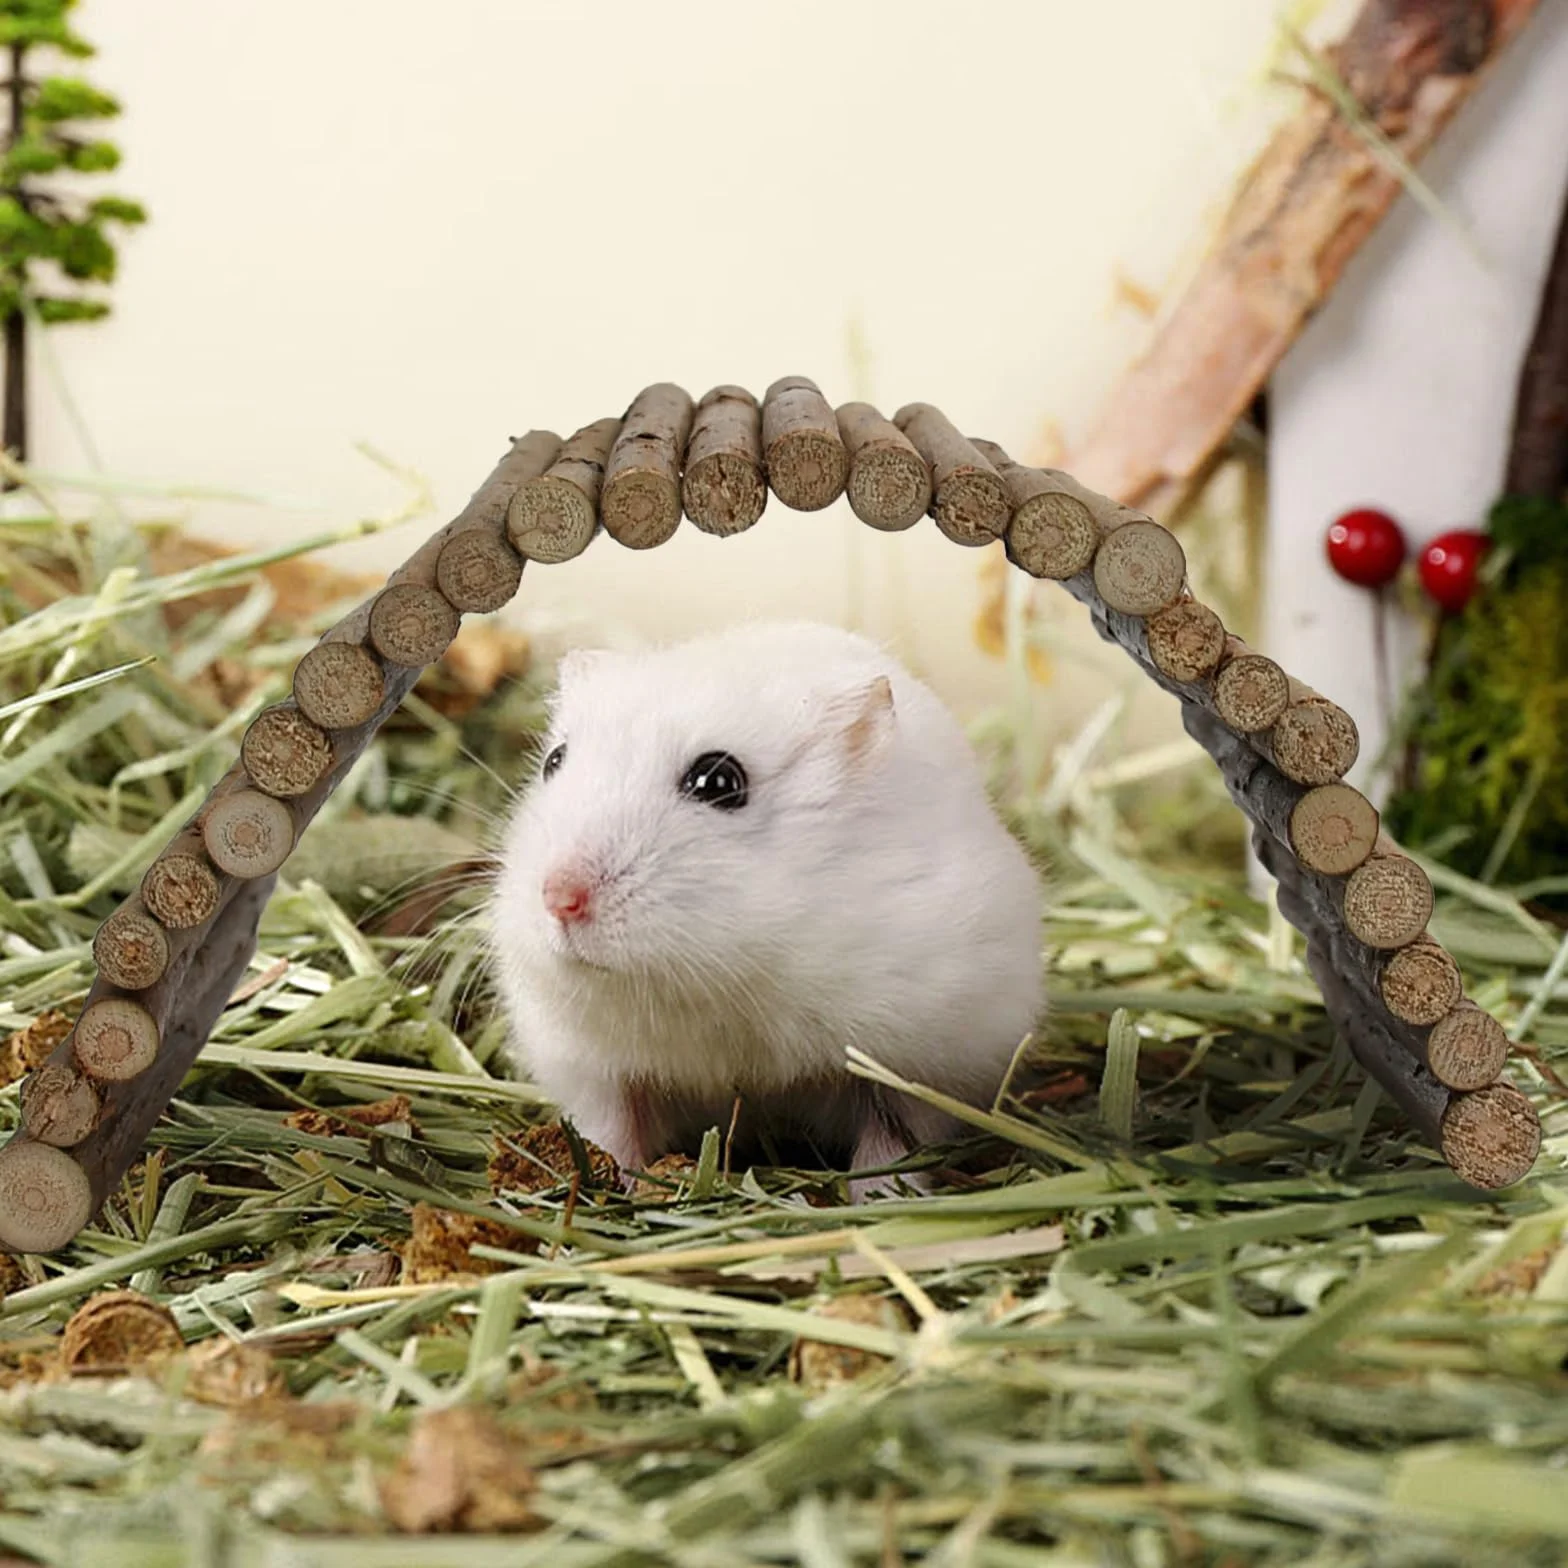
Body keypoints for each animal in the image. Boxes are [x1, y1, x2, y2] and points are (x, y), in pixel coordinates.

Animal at [488, 620, 1044, 1195]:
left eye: (718, 781)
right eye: (554, 762)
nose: (559, 898)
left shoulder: (920, 1066)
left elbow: (895, 1145)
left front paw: (874, 1196)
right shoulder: (590, 1065)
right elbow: (612, 1129)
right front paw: (625, 1182)